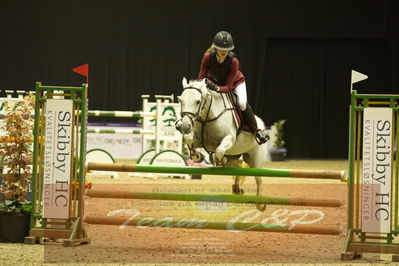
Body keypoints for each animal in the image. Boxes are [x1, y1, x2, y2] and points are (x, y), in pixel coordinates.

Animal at [177, 78, 268, 211]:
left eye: (198, 101)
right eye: (180, 100)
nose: (184, 126)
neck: (207, 118)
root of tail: (261, 122)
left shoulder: (229, 139)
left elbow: (219, 150)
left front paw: (217, 160)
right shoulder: (198, 139)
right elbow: (189, 139)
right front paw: (197, 156)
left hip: (255, 159)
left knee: (259, 179)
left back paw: (260, 204)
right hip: (235, 155)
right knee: (238, 167)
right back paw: (236, 189)